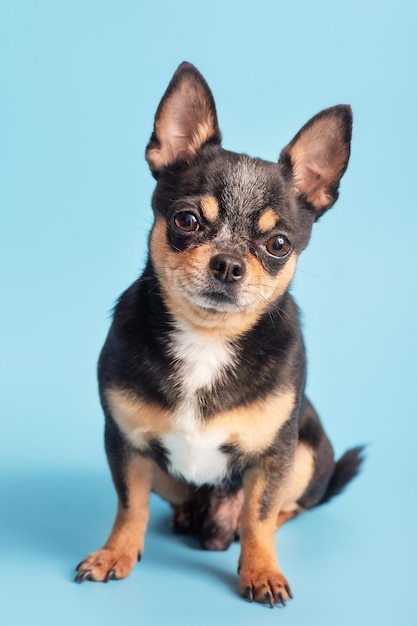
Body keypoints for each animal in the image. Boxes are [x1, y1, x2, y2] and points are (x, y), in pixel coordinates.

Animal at [75, 62, 360, 604]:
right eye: (187, 220)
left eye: (278, 244)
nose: (227, 263)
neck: (206, 337)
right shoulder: (125, 443)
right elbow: (130, 505)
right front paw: (115, 554)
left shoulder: (276, 455)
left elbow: (259, 514)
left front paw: (261, 571)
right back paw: (188, 517)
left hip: (309, 452)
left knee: (283, 509)